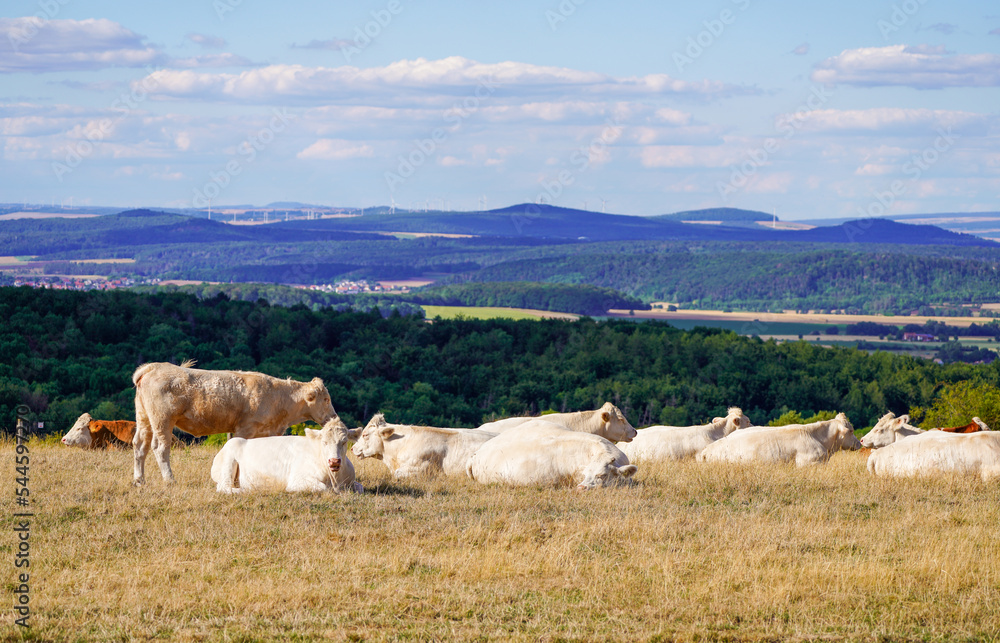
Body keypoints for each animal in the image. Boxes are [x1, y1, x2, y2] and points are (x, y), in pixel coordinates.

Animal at [132, 361, 337, 485]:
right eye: (326, 399)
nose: (334, 417)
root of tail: (154, 367)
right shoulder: (244, 428)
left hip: (144, 418)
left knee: (140, 446)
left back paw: (139, 480)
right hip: (162, 420)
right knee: (160, 448)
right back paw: (169, 480)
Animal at [211, 418, 361, 493]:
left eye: (344, 441)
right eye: (324, 442)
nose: (334, 461)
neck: (335, 480)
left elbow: (360, 488)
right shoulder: (297, 480)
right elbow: (324, 488)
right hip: (228, 462)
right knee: (224, 488)